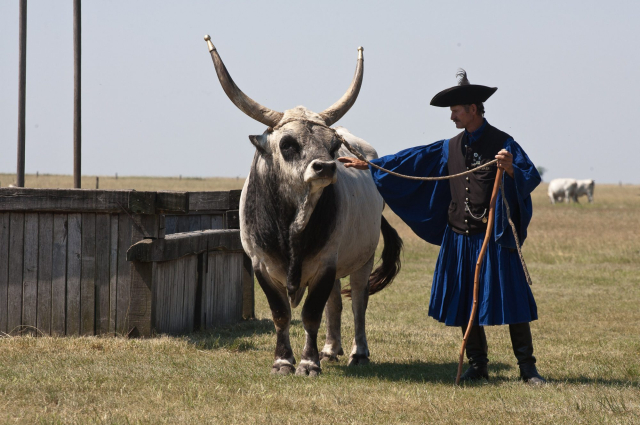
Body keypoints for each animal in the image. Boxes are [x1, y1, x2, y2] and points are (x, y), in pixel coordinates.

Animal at [205, 35, 402, 374]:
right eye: (287, 144)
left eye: (334, 145)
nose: (327, 167)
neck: (292, 223)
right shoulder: (261, 265)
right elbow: (281, 314)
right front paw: (283, 361)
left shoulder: (325, 264)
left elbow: (311, 313)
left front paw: (308, 364)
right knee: (336, 302)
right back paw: (331, 349)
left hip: (361, 259)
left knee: (358, 302)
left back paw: (358, 353)